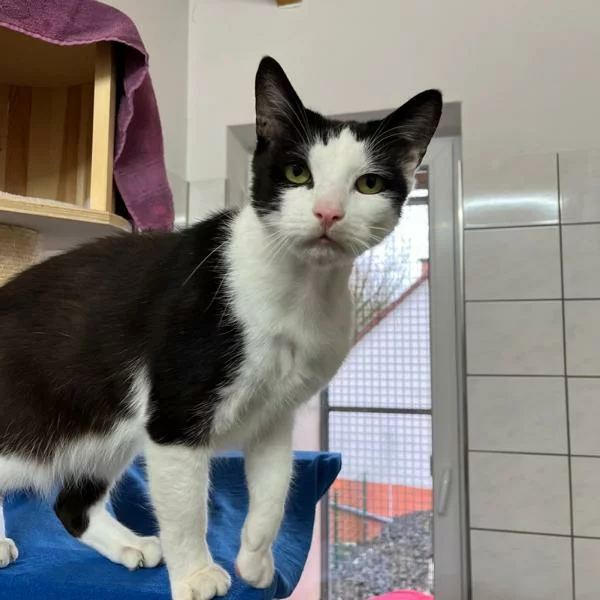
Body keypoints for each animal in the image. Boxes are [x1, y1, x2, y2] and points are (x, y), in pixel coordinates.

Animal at [0, 56, 441, 600]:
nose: (328, 213)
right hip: (45, 423)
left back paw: (129, 545)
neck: (295, 290)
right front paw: (197, 574)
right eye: (297, 172)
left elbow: (275, 487)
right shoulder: (174, 414)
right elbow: (186, 507)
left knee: (72, 505)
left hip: (107, 427)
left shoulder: (277, 412)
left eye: (369, 185)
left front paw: (255, 559)